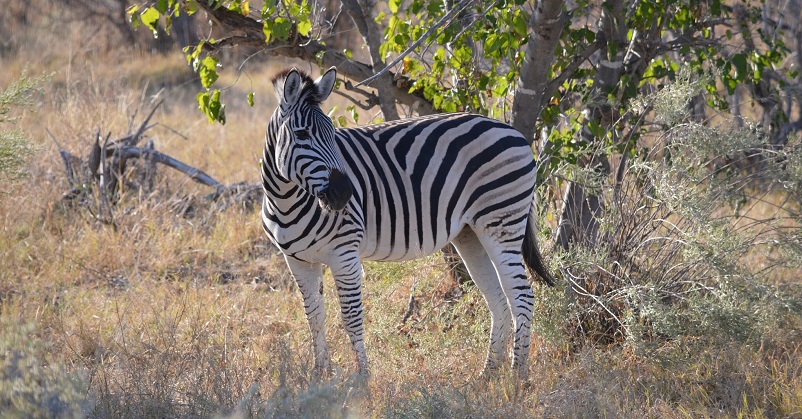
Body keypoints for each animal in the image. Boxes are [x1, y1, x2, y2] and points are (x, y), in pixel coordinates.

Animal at [260, 67, 552, 378]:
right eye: (301, 134)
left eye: (333, 135)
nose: (345, 194)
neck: (286, 201)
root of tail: (513, 132)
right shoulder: (298, 261)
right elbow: (314, 316)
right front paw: (320, 376)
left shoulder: (344, 254)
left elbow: (351, 317)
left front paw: (362, 380)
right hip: (470, 233)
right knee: (498, 299)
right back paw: (489, 375)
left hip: (501, 222)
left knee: (522, 297)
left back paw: (518, 377)